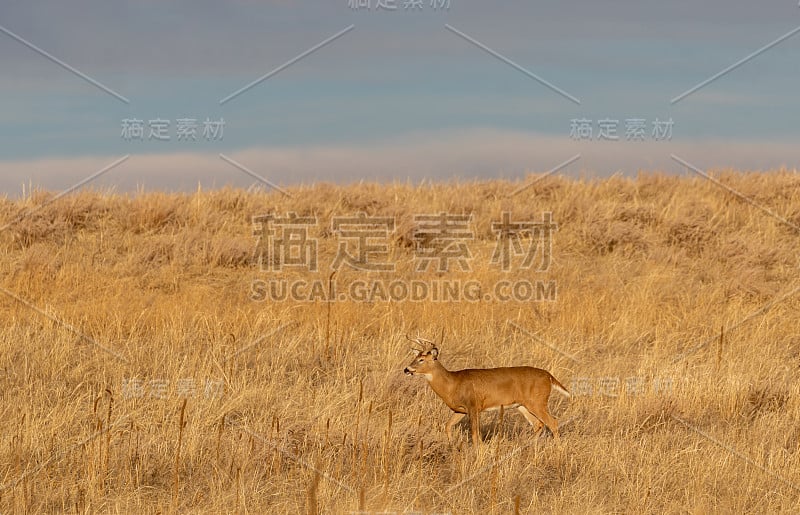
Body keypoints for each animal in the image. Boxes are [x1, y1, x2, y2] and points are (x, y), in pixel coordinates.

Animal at [406, 338, 568, 448]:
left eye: (421, 359)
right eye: (414, 357)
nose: (406, 369)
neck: (452, 384)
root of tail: (549, 376)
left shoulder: (474, 405)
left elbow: (474, 433)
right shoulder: (460, 410)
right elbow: (447, 426)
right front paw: (452, 445)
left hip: (537, 401)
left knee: (552, 422)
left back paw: (558, 450)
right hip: (522, 405)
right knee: (538, 424)